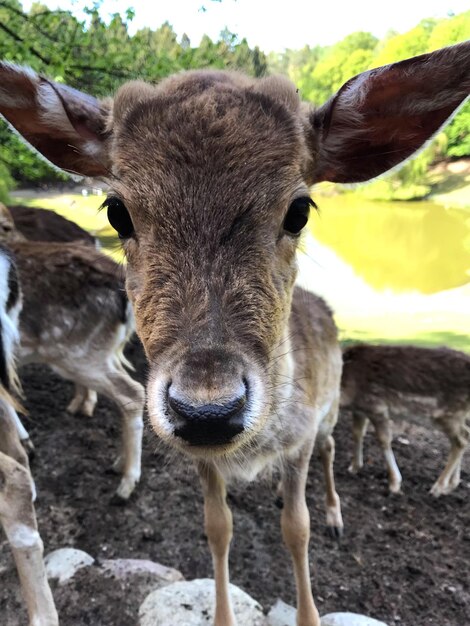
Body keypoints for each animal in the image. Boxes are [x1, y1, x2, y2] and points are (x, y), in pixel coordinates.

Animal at [0, 202, 145, 500]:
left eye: (6, 225)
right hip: (98, 350)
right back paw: (118, 462)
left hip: (76, 354)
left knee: (133, 392)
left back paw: (126, 483)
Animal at [342, 344, 470, 494]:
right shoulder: (359, 409)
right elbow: (357, 433)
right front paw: (354, 467)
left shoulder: (377, 407)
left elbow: (383, 440)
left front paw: (394, 483)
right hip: (456, 416)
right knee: (464, 435)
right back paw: (451, 484)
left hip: (448, 415)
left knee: (461, 441)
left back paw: (438, 487)